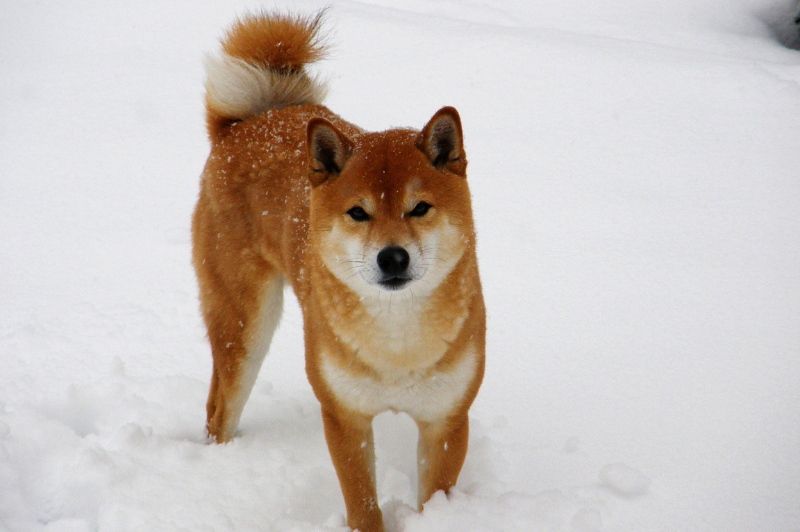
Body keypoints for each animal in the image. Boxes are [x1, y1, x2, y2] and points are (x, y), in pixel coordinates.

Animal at [191, 11, 484, 532]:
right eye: (358, 213)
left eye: (419, 208)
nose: (393, 257)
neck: (398, 342)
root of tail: (253, 121)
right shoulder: (345, 416)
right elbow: (363, 506)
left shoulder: (446, 420)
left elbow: (434, 495)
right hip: (245, 327)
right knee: (219, 409)